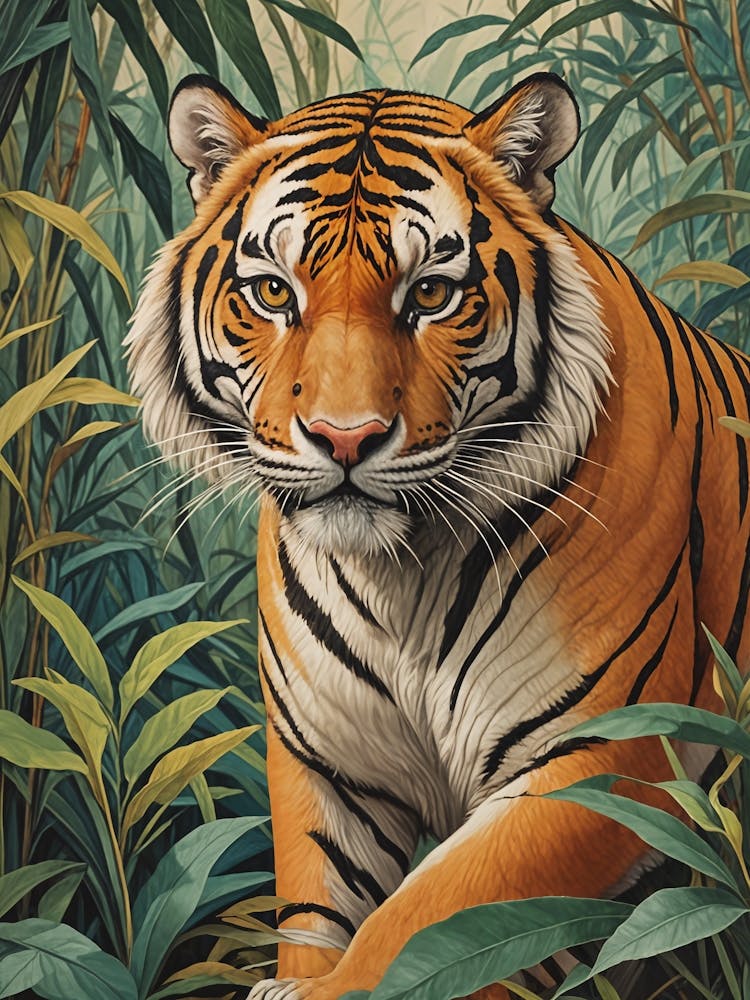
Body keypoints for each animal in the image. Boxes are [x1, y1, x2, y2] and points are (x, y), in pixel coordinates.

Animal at [127, 71, 750, 999]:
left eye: (430, 294)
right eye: (274, 293)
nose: (345, 438)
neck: (401, 576)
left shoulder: (602, 753)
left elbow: (423, 922)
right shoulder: (329, 763)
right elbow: (318, 910)